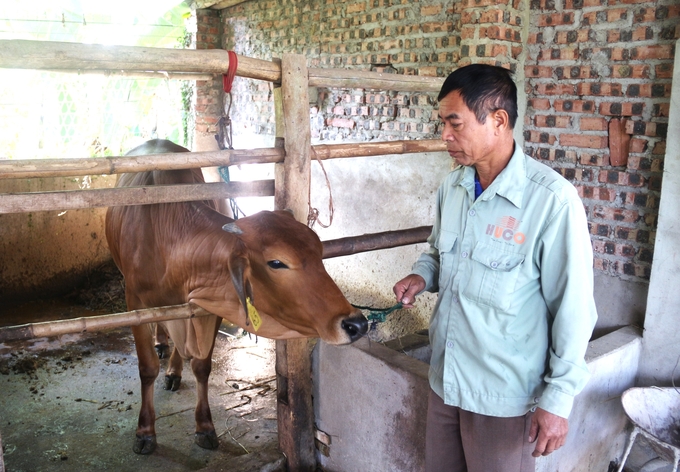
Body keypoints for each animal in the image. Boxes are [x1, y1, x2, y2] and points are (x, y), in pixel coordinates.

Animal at [105, 139, 366, 454]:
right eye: (276, 262)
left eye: (319, 251)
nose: (356, 324)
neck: (168, 239)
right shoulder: (135, 303)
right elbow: (146, 368)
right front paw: (145, 432)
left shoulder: (206, 307)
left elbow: (202, 366)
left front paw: (204, 426)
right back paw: (162, 345)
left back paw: (174, 370)